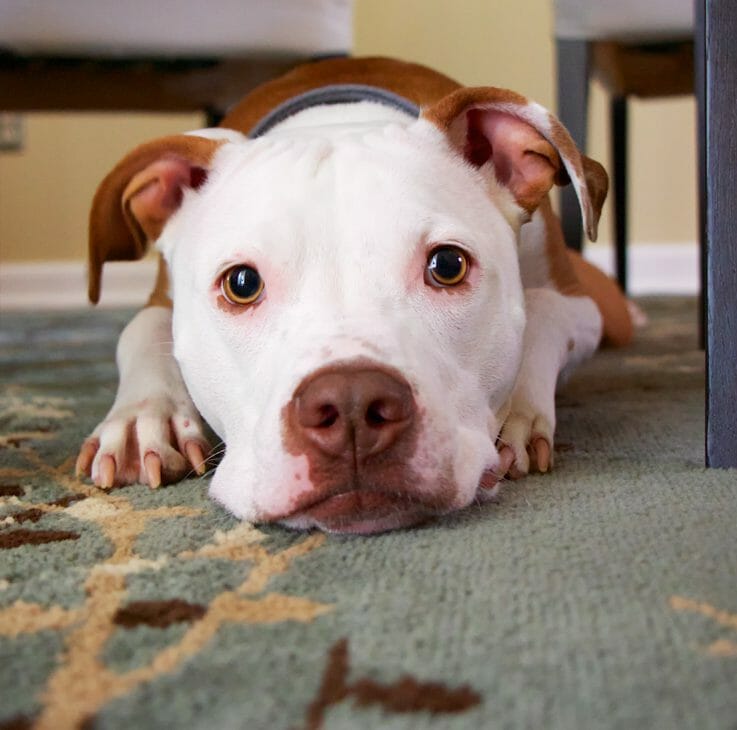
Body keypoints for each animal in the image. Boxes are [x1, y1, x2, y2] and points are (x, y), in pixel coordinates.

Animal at [75, 57, 628, 532]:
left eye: (447, 265)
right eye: (242, 283)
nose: (351, 405)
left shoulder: (580, 304)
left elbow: (543, 312)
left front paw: (518, 413)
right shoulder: (160, 301)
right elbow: (139, 329)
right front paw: (143, 419)